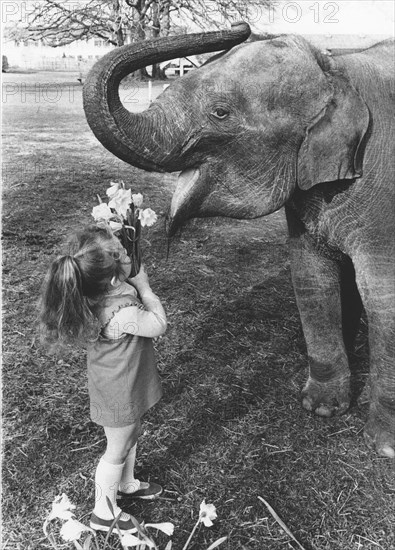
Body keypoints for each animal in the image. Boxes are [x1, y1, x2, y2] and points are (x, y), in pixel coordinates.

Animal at [82, 23, 394, 460]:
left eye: (220, 113)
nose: (241, 27)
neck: (336, 69)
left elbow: (383, 296)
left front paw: (384, 448)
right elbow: (311, 278)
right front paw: (319, 408)